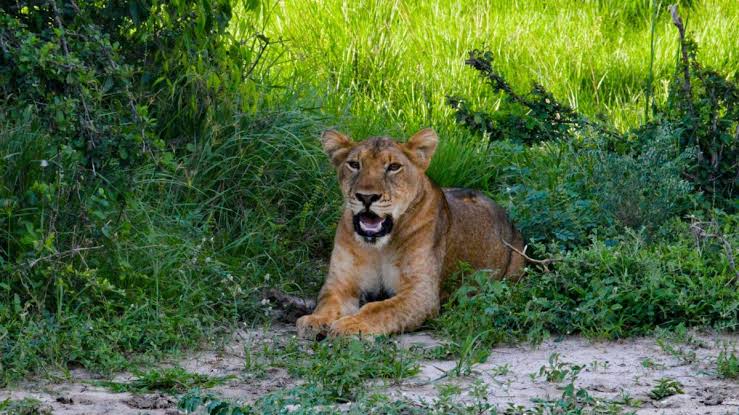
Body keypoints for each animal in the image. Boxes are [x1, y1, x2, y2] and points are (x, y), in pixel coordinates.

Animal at [296, 128, 525, 337]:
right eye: (354, 164)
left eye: (393, 167)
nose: (366, 197)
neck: (379, 247)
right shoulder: (341, 283)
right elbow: (328, 302)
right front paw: (315, 320)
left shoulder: (421, 293)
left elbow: (379, 308)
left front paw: (351, 324)